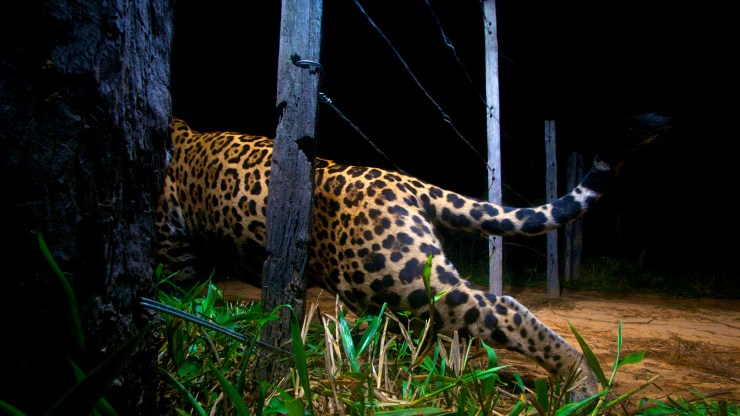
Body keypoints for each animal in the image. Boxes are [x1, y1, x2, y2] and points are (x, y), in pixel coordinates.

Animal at [156, 113, 670, 401]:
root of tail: (405, 181)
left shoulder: (171, 252)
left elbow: (171, 300)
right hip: (409, 279)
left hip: (394, 280)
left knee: (499, 307)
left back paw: (581, 383)